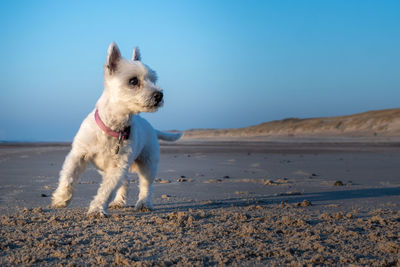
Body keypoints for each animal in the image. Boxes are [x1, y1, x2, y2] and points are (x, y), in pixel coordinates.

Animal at [51, 42, 181, 218]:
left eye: (153, 79)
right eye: (133, 81)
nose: (159, 95)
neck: (113, 128)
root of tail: (152, 128)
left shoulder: (117, 167)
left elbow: (106, 190)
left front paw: (97, 209)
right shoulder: (78, 155)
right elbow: (68, 177)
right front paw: (61, 198)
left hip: (148, 163)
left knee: (146, 186)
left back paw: (144, 203)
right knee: (124, 184)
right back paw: (119, 201)